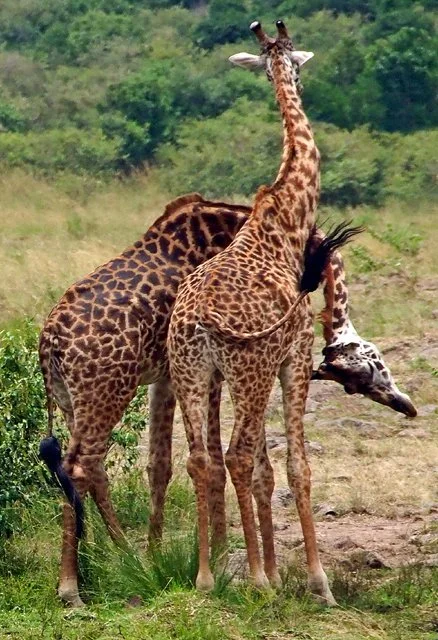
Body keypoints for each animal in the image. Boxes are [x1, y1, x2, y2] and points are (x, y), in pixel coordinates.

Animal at [166, 20, 337, 602]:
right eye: (299, 68)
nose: (298, 81)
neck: (285, 218)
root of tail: (197, 321)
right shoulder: (297, 355)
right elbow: (296, 465)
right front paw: (314, 581)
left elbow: (264, 468)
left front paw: (277, 573)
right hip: (251, 369)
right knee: (237, 455)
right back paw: (257, 582)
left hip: (192, 373)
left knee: (201, 458)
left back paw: (205, 577)